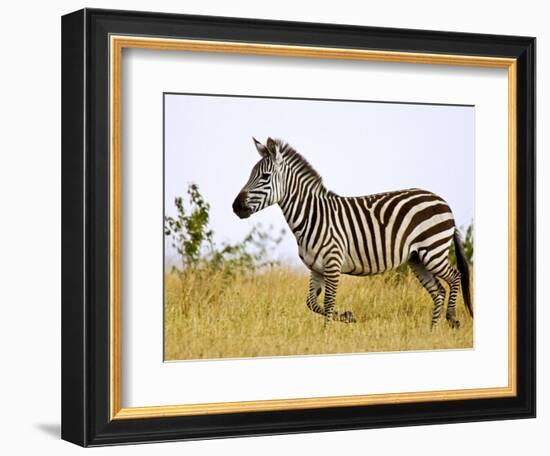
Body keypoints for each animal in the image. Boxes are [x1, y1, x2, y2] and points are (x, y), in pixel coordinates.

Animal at [233, 136, 474, 328]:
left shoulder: (332, 263)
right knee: (438, 291)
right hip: (418, 259)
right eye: (250, 174)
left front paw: (326, 334)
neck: (313, 215)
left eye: (264, 176)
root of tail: (442, 200)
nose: (236, 207)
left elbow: (328, 302)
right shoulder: (316, 268)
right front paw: (348, 317)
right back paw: (433, 331)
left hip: (432, 250)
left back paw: (452, 319)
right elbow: (311, 303)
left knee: (455, 276)